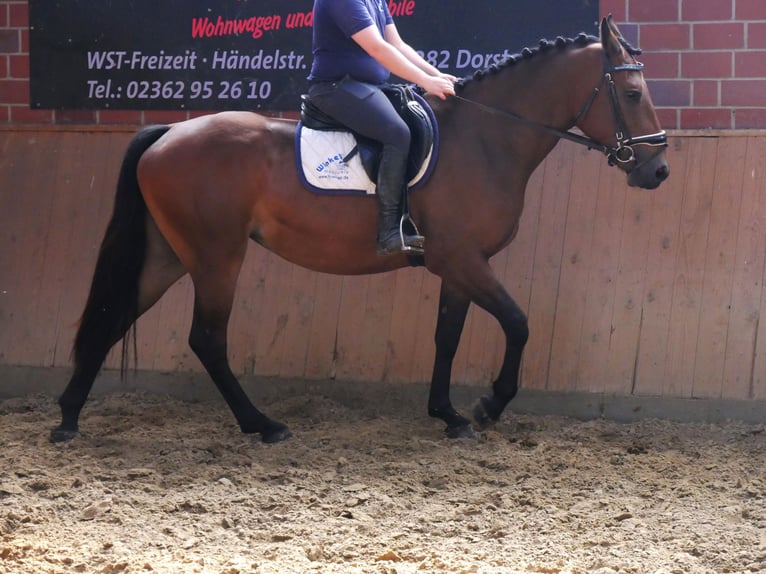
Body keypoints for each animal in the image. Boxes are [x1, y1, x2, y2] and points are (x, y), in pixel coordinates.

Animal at [49, 15, 672, 444]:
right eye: (633, 95)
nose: (657, 171)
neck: (485, 139)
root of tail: (168, 134)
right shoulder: (465, 261)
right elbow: (518, 324)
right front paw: (488, 407)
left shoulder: (458, 267)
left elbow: (448, 338)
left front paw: (448, 416)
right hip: (215, 257)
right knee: (206, 339)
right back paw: (263, 425)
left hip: (169, 255)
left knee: (111, 318)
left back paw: (69, 419)